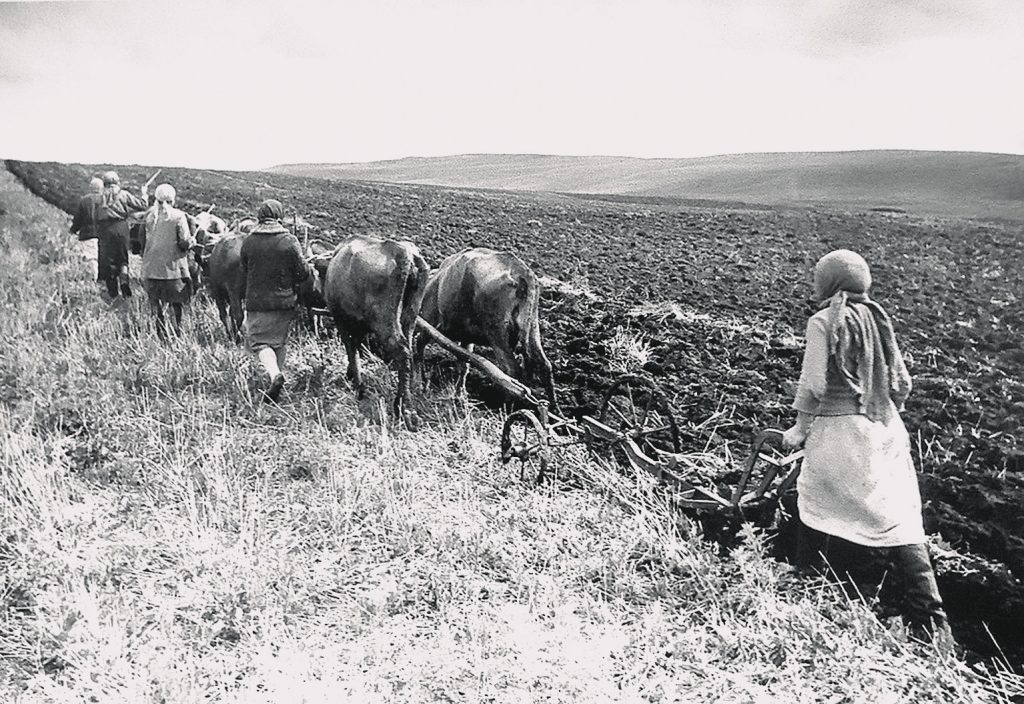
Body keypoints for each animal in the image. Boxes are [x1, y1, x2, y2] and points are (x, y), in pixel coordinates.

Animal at [309, 233, 425, 425]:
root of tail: (404, 253)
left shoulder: (341, 319)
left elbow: (351, 348)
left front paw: (358, 385)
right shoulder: (358, 324)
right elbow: (356, 346)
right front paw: (352, 375)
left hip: (385, 321)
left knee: (402, 352)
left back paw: (404, 408)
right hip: (410, 317)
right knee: (409, 351)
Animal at [413, 250, 557, 409]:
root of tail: (520, 270)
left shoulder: (431, 323)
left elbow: (419, 348)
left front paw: (421, 384)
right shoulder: (466, 338)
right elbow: (464, 364)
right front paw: (459, 396)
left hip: (497, 334)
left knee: (511, 371)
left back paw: (507, 408)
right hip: (532, 326)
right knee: (544, 365)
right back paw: (554, 409)